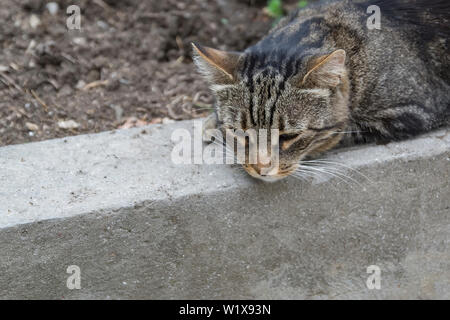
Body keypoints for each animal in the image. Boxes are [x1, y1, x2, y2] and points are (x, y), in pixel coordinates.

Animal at [193, 0, 450, 180]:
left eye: (289, 136)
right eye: (241, 132)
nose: (260, 167)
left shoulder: (412, 112)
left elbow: (343, 130)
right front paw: (213, 123)